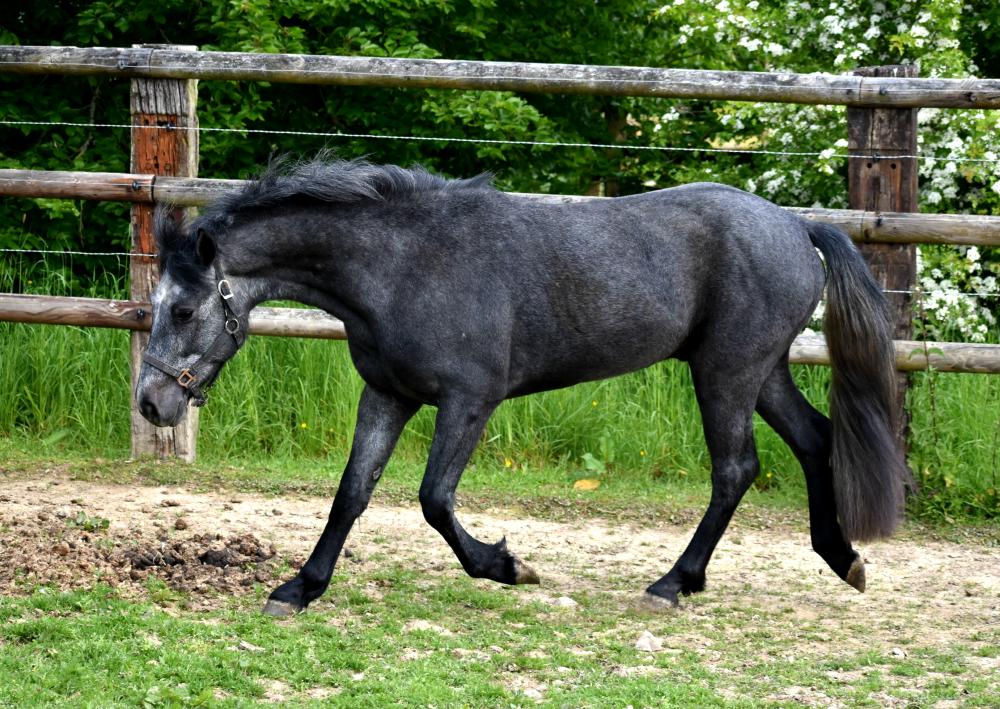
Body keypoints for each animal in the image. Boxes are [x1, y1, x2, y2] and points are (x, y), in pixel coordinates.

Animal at [135, 156, 911, 616]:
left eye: (183, 309)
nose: (151, 402)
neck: (401, 264)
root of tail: (798, 226)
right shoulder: (388, 394)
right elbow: (352, 492)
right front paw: (300, 588)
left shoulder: (469, 401)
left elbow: (433, 499)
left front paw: (508, 566)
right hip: (761, 370)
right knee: (813, 440)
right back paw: (843, 559)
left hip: (726, 370)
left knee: (735, 468)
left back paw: (673, 583)